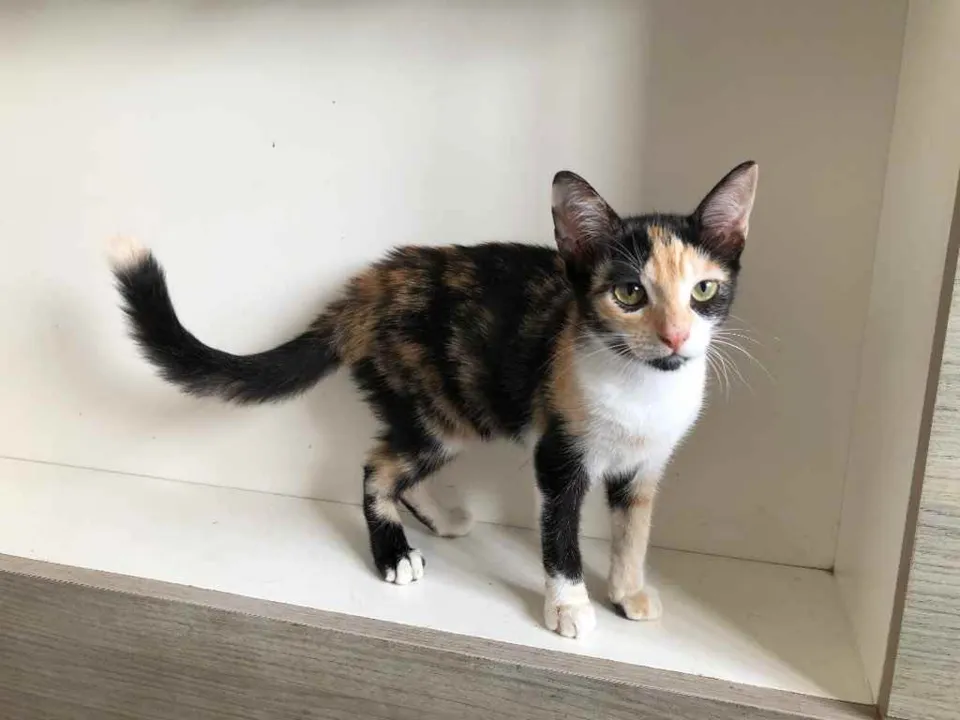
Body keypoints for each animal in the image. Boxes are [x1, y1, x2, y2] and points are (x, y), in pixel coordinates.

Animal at [110, 161, 758, 639]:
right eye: (628, 294)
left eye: (704, 290)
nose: (676, 337)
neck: (641, 384)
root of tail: (371, 285)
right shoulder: (558, 454)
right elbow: (559, 536)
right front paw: (569, 607)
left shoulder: (646, 465)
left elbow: (633, 529)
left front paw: (627, 591)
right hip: (439, 402)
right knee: (378, 466)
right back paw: (394, 553)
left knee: (400, 464)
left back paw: (443, 518)